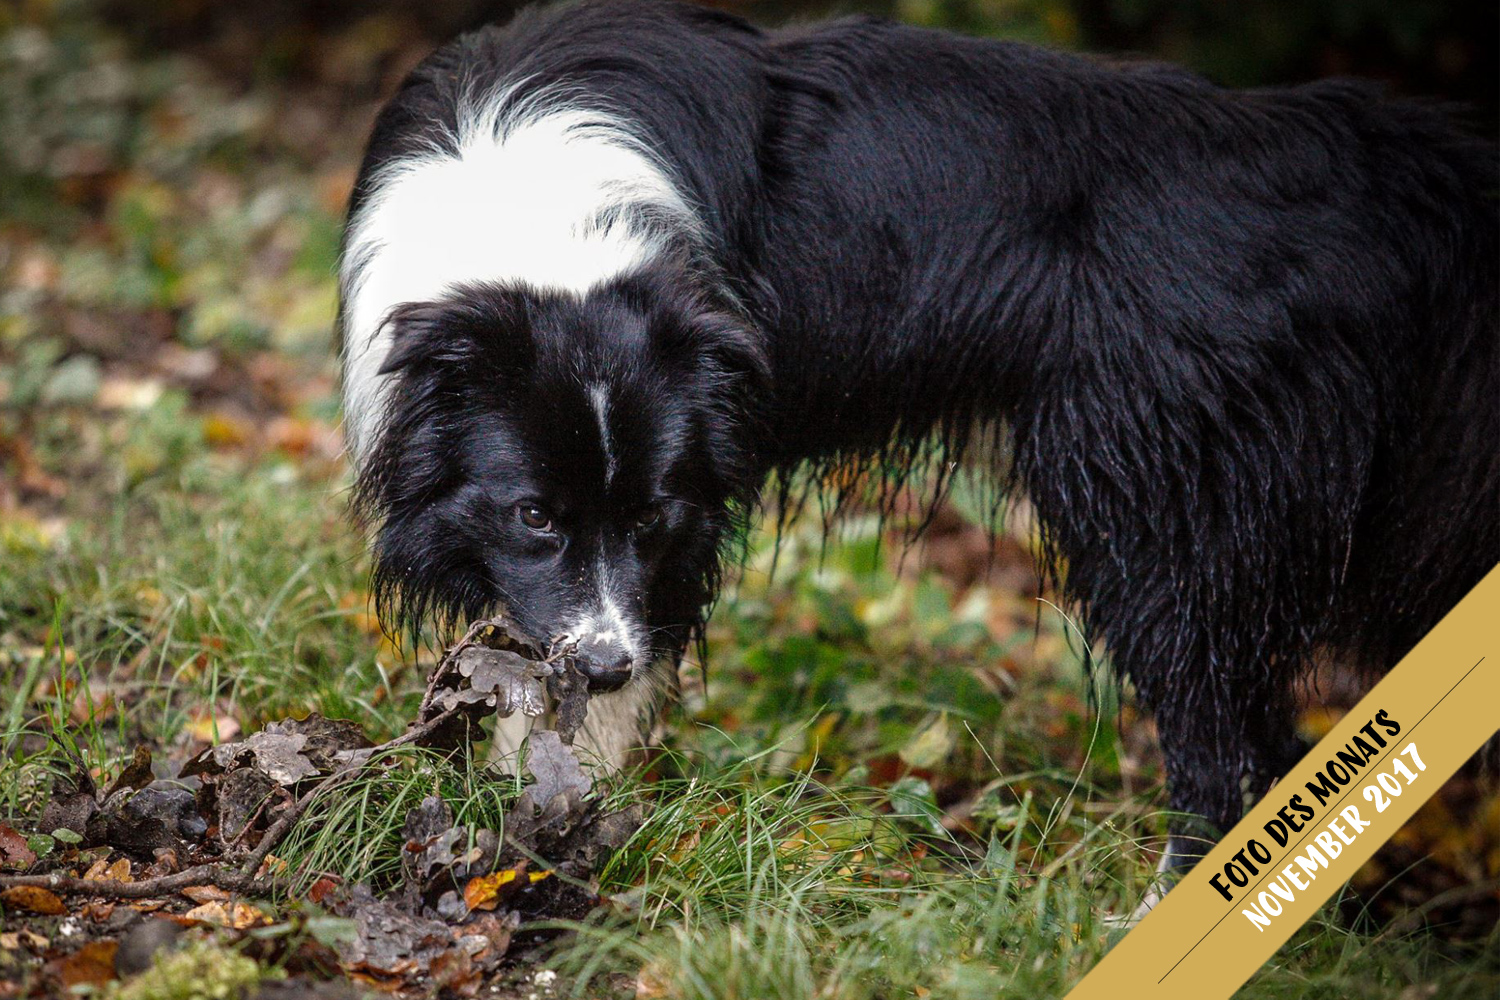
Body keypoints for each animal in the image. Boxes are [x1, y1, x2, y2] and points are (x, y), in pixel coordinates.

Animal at [343, 0, 1500, 869]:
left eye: (652, 514)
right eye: (534, 515)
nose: (609, 665)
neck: (537, 223)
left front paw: (566, 804)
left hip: (1160, 490)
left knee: (1221, 727)